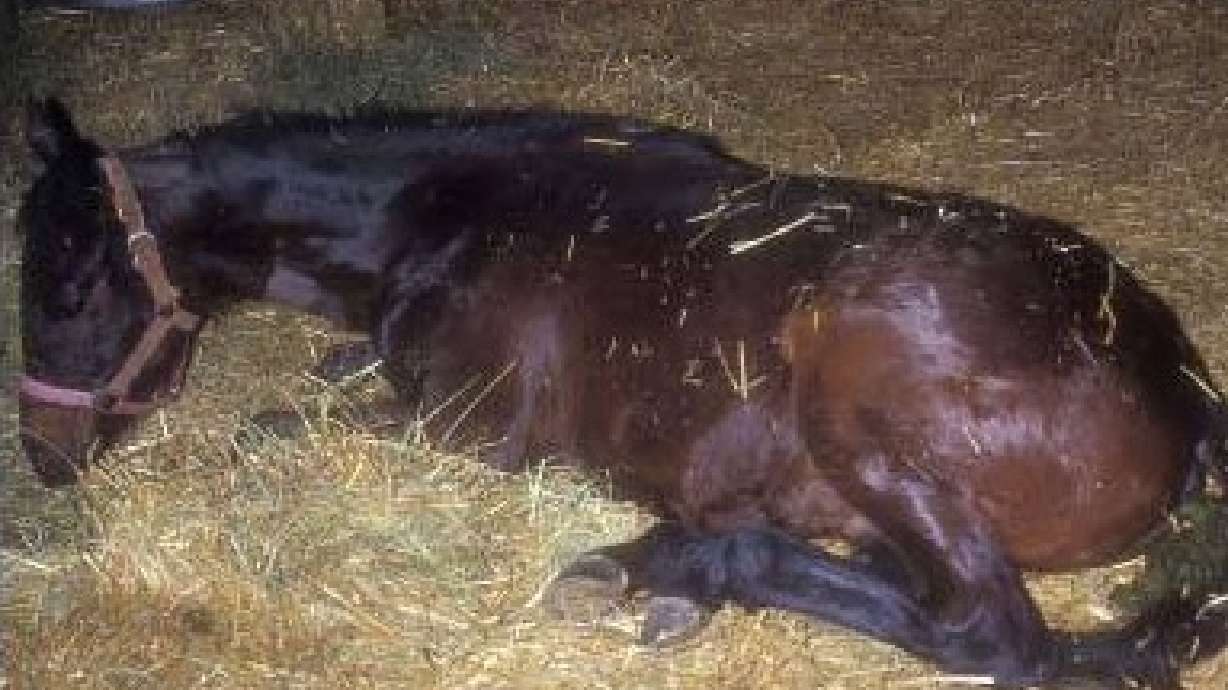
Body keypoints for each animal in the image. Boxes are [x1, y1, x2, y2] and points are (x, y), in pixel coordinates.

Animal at [16, 96, 1228, 687]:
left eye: (68, 288)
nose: (41, 458)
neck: (442, 212)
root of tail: (1182, 387)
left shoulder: (467, 424)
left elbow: (262, 433)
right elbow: (316, 381)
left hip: (861, 395)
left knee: (994, 636)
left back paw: (680, 562)